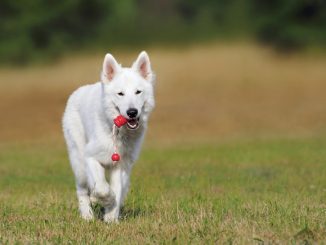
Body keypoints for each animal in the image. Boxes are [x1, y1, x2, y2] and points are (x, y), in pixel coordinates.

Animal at [63, 51, 157, 222]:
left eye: (138, 92)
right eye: (120, 93)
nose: (132, 112)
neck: (117, 131)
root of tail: (77, 92)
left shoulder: (121, 166)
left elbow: (117, 190)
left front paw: (111, 217)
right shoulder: (90, 157)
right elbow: (102, 188)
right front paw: (105, 200)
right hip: (79, 163)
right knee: (82, 189)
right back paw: (87, 215)